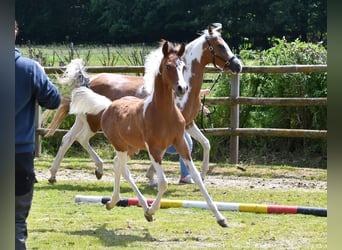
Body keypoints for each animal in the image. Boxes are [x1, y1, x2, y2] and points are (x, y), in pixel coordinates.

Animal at [46, 23, 242, 184]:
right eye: (220, 45)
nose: (238, 66)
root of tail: (88, 81)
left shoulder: (188, 123)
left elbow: (206, 143)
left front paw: (201, 173)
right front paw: (151, 176)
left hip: (83, 120)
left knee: (68, 139)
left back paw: (56, 174)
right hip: (92, 122)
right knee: (80, 138)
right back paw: (96, 169)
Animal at [70, 40, 228, 227]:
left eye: (183, 67)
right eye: (168, 66)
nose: (182, 88)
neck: (163, 112)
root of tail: (109, 105)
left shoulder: (180, 142)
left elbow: (196, 176)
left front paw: (220, 217)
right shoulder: (154, 149)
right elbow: (163, 183)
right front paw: (152, 210)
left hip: (132, 147)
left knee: (117, 165)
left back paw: (115, 202)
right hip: (120, 145)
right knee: (123, 169)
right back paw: (139, 205)